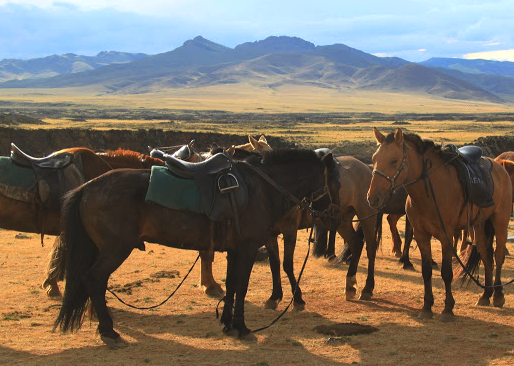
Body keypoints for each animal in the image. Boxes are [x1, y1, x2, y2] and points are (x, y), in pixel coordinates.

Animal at [54, 147, 340, 344]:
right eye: (336, 183)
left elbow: (232, 285)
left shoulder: (235, 250)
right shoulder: (247, 248)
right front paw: (242, 327)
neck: (261, 188)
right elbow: (242, 287)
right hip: (115, 249)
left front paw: (227, 323)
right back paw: (109, 331)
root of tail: (87, 187)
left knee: (96, 282)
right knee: (93, 279)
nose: (335, 217)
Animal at [366, 128, 510, 320]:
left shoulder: (446, 236)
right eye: (374, 158)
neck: (430, 191)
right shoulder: (421, 235)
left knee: (499, 256)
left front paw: (448, 308)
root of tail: (499, 166)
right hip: (479, 225)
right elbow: (426, 271)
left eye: (394, 160)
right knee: (486, 255)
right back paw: (485, 295)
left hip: (500, 220)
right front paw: (427, 307)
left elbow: (446, 273)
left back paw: (498, 295)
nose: (372, 198)